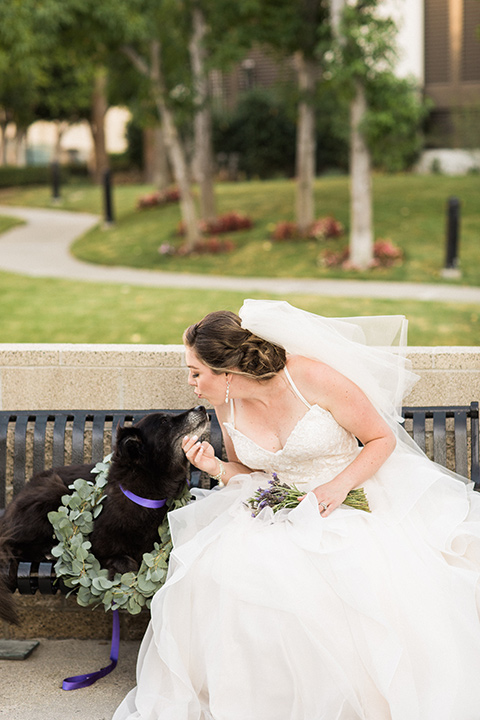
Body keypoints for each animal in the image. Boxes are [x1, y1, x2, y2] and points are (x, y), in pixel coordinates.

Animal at [0, 408, 208, 628]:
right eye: (165, 421)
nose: (202, 408)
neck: (146, 497)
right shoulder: (97, 550)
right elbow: (127, 564)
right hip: (52, 491)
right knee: (12, 545)